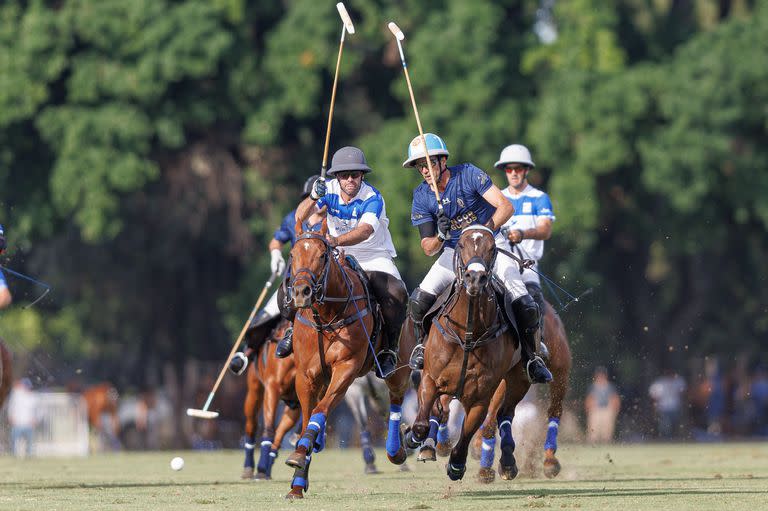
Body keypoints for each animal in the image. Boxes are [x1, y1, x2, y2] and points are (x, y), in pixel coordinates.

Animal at [282, 221, 414, 500]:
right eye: (293, 254)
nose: (300, 292)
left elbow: (320, 411)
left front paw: (302, 452)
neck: (326, 316)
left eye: (323, 255)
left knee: (395, 402)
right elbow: (308, 416)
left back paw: (396, 451)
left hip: (397, 370)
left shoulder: (346, 369)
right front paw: (298, 480)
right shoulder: (307, 376)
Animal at [402, 226, 536, 482]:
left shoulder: (481, 396)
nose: (475, 278)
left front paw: (456, 465)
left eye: (492, 248)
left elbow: (467, 434)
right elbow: (423, 421)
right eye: (461, 244)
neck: (468, 332)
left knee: (505, 414)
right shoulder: (430, 378)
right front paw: (413, 438)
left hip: (520, 378)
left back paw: (508, 463)